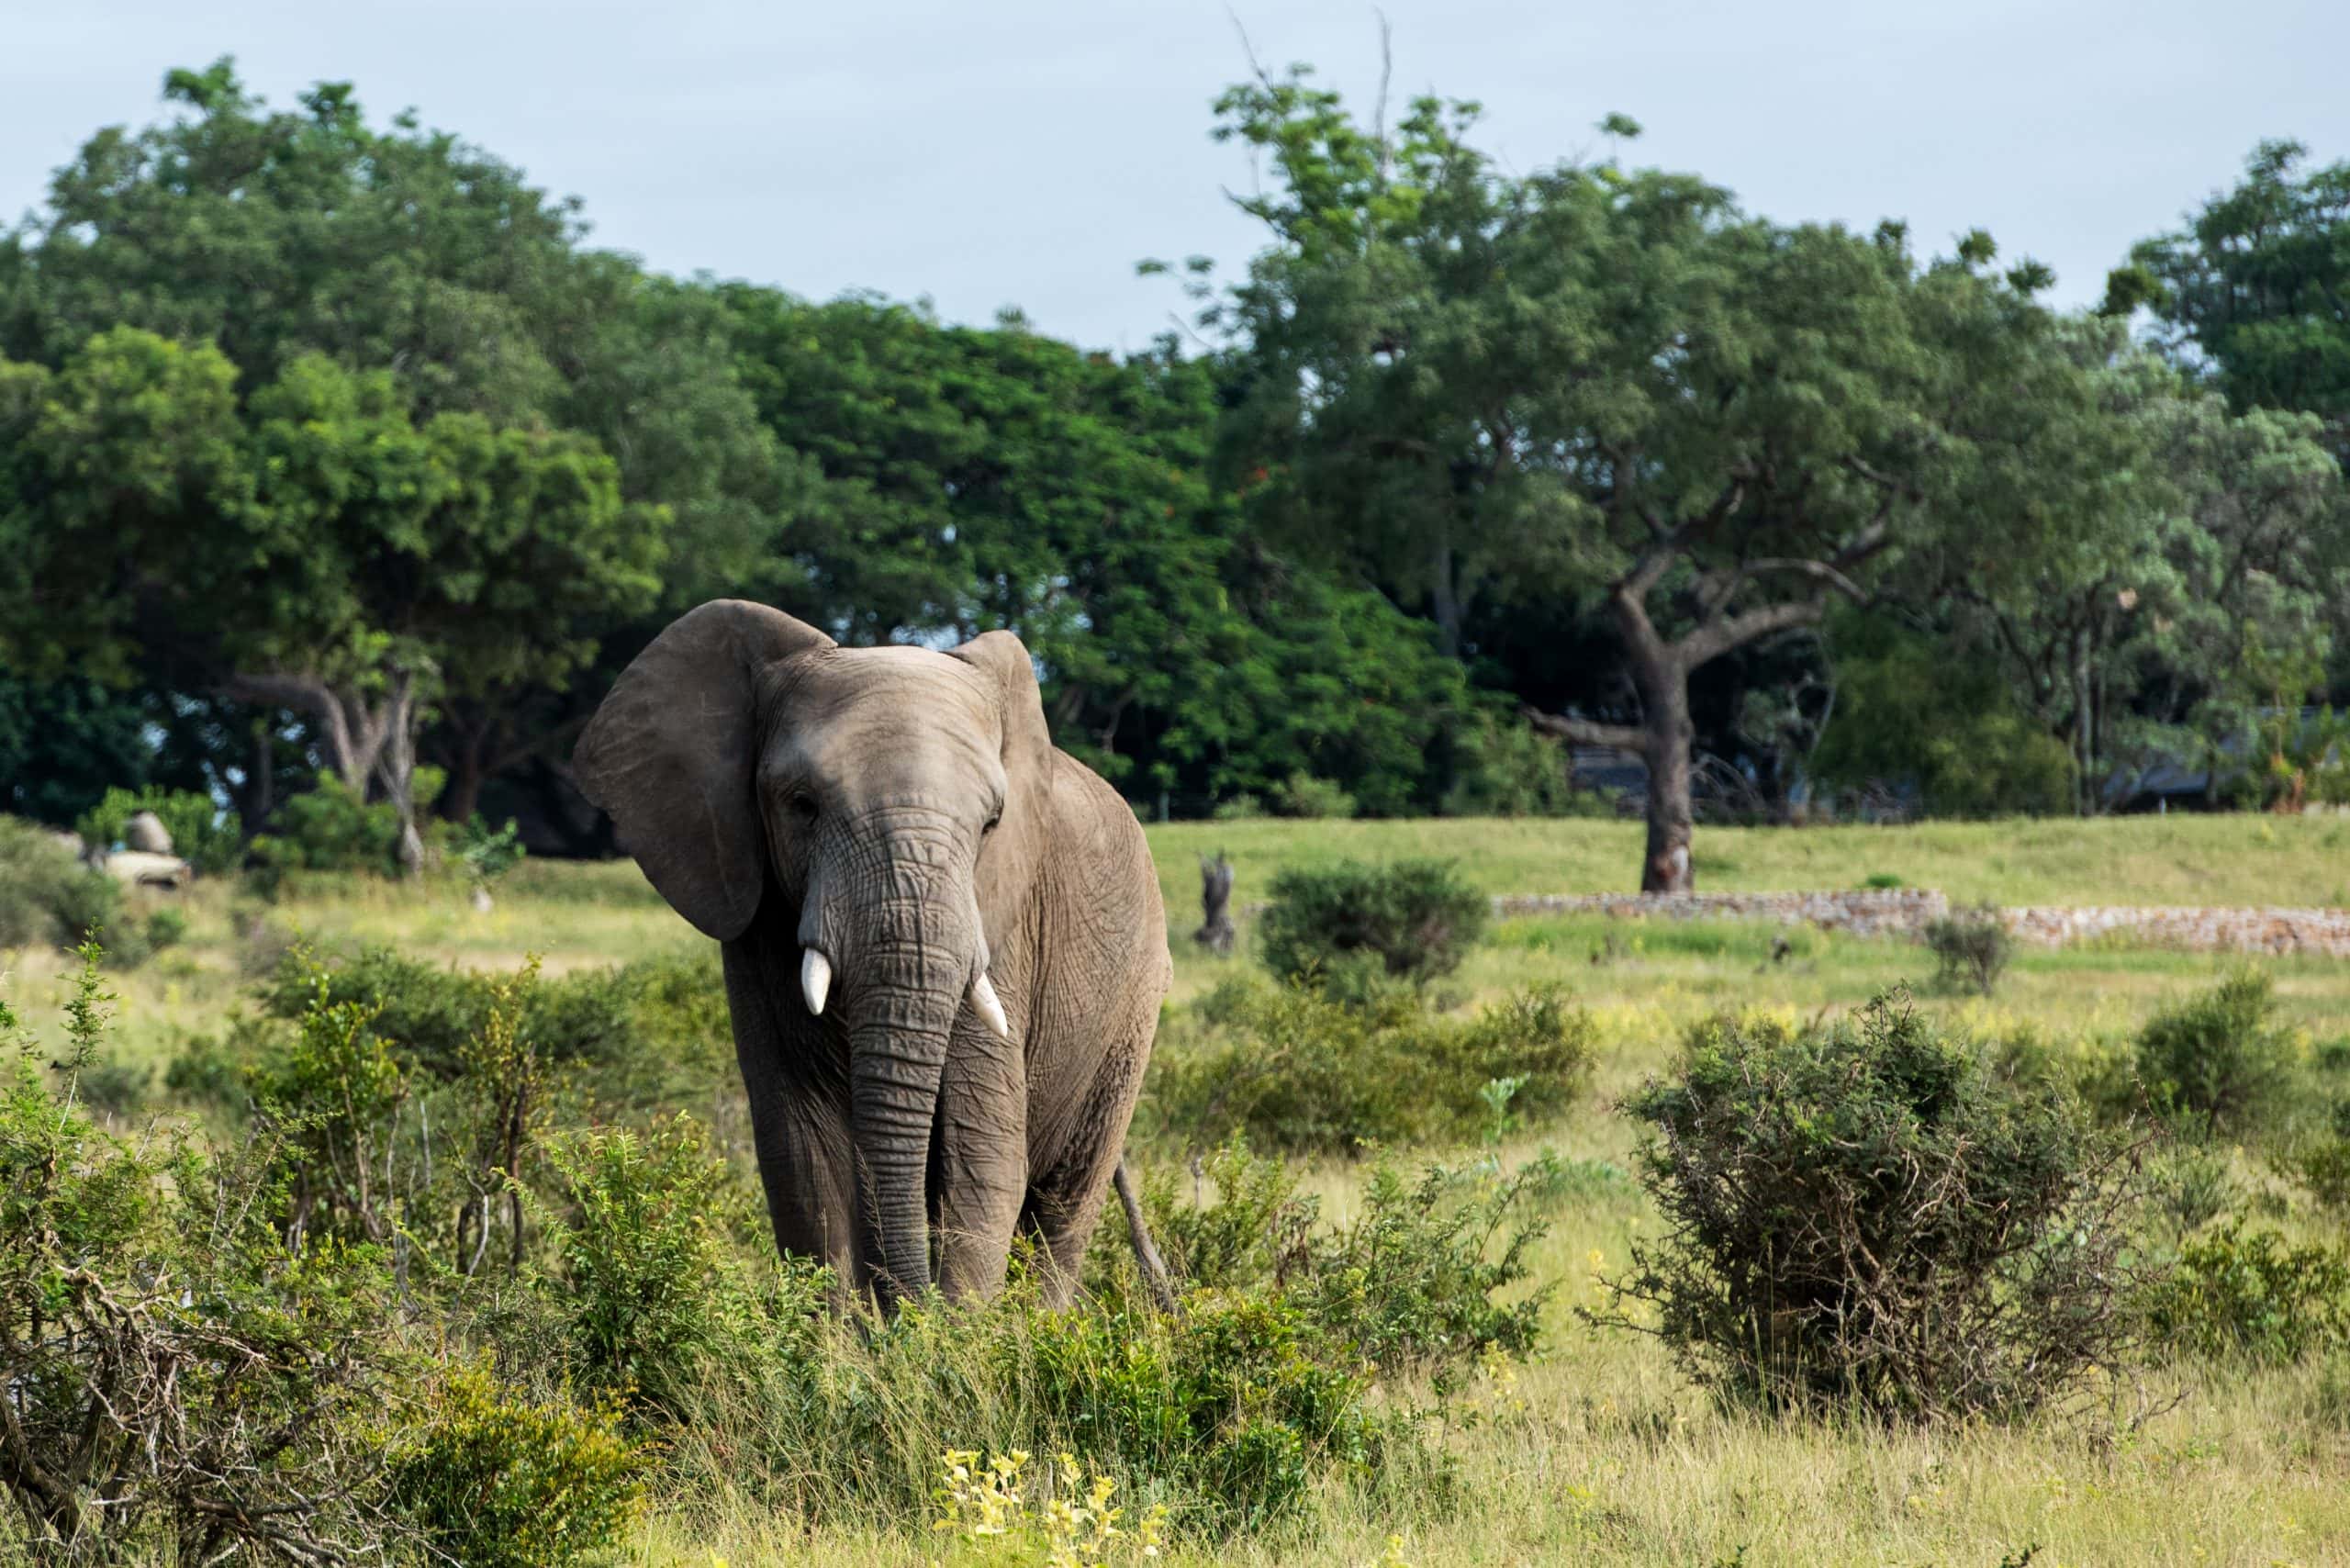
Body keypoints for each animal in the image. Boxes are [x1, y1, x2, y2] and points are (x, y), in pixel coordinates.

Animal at [571, 601, 1175, 1316]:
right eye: (802, 805)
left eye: (992, 823)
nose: (912, 1309)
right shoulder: (755, 925)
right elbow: (804, 1160)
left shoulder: (1003, 928)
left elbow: (983, 1159)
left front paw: (953, 1339)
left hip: (1134, 1005)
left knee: (1064, 1202)